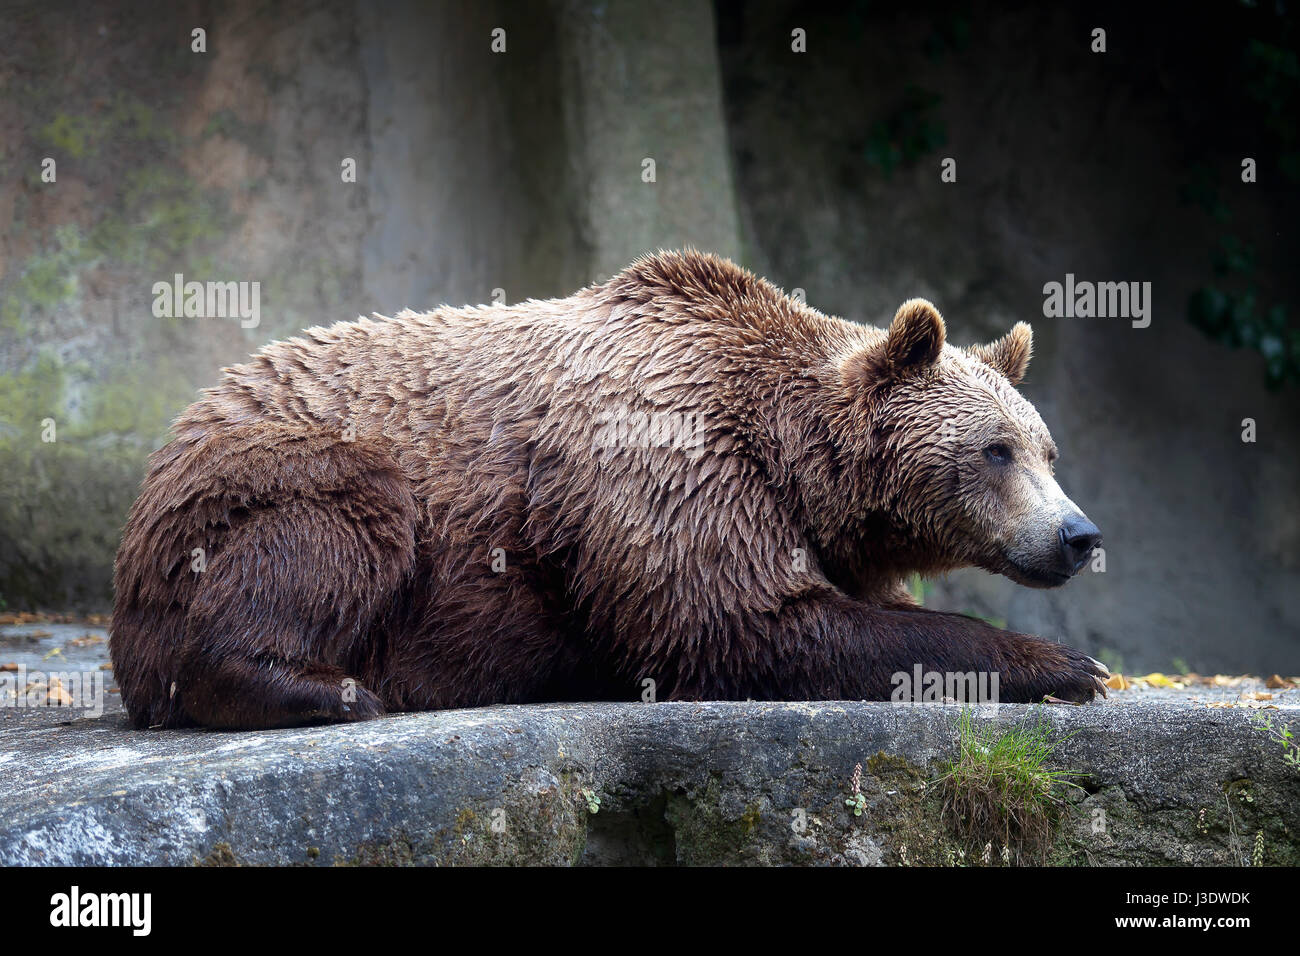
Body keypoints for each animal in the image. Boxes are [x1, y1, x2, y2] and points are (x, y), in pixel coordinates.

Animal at [109, 251, 1107, 728]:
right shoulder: (665, 461)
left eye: (1049, 449)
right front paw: (1065, 664)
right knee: (332, 538)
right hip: (274, 478)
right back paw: (333, 689)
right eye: (995, 451)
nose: (1078, 535)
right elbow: (743, 621)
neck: (788, 453)